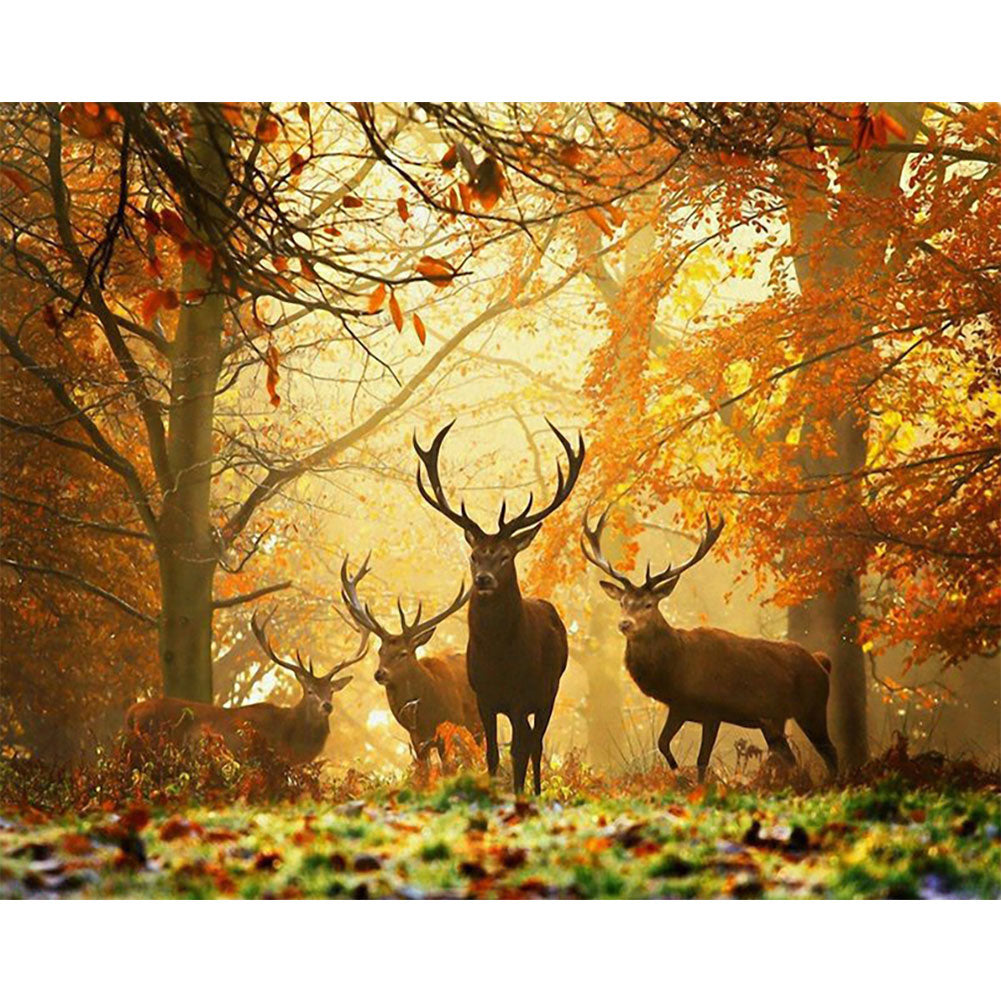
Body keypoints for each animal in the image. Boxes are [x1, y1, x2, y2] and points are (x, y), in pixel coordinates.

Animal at [414, 419, 585, 795]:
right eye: (474, 555)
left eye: (506, 556)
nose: (483, 580)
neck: (499, 658)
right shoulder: (484, 697)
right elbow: (492, 754)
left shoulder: (522, 696)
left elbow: (518, 752)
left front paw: (518, 794)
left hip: (549, 691)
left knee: (535, 745)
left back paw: (536, 792)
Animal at [581, 506, 838, 782]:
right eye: (622, 602)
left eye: (649, 604)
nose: (624, 623)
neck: (676, 670)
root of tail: (821, 662)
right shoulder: (679, 707)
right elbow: (662, 744)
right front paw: (677, 774)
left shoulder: (713, 710)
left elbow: (702, 760)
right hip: (773, 720)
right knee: (789, 757)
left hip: (812, 707)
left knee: (830, 751)